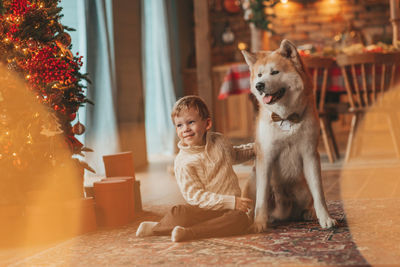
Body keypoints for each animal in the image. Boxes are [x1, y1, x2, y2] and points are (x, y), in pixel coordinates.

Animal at [241, 38, 338, 233]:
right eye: (259, 75)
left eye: (274, 72)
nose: (259, 86)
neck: (285, 117)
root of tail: (283, 214)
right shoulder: (266, 158)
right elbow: (261, 199)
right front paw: (259, 223)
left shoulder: (310, 155)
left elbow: (319, 194)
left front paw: (325, 218)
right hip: (252, 180)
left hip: (303, 189)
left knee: (306, 203)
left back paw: (308, 213)